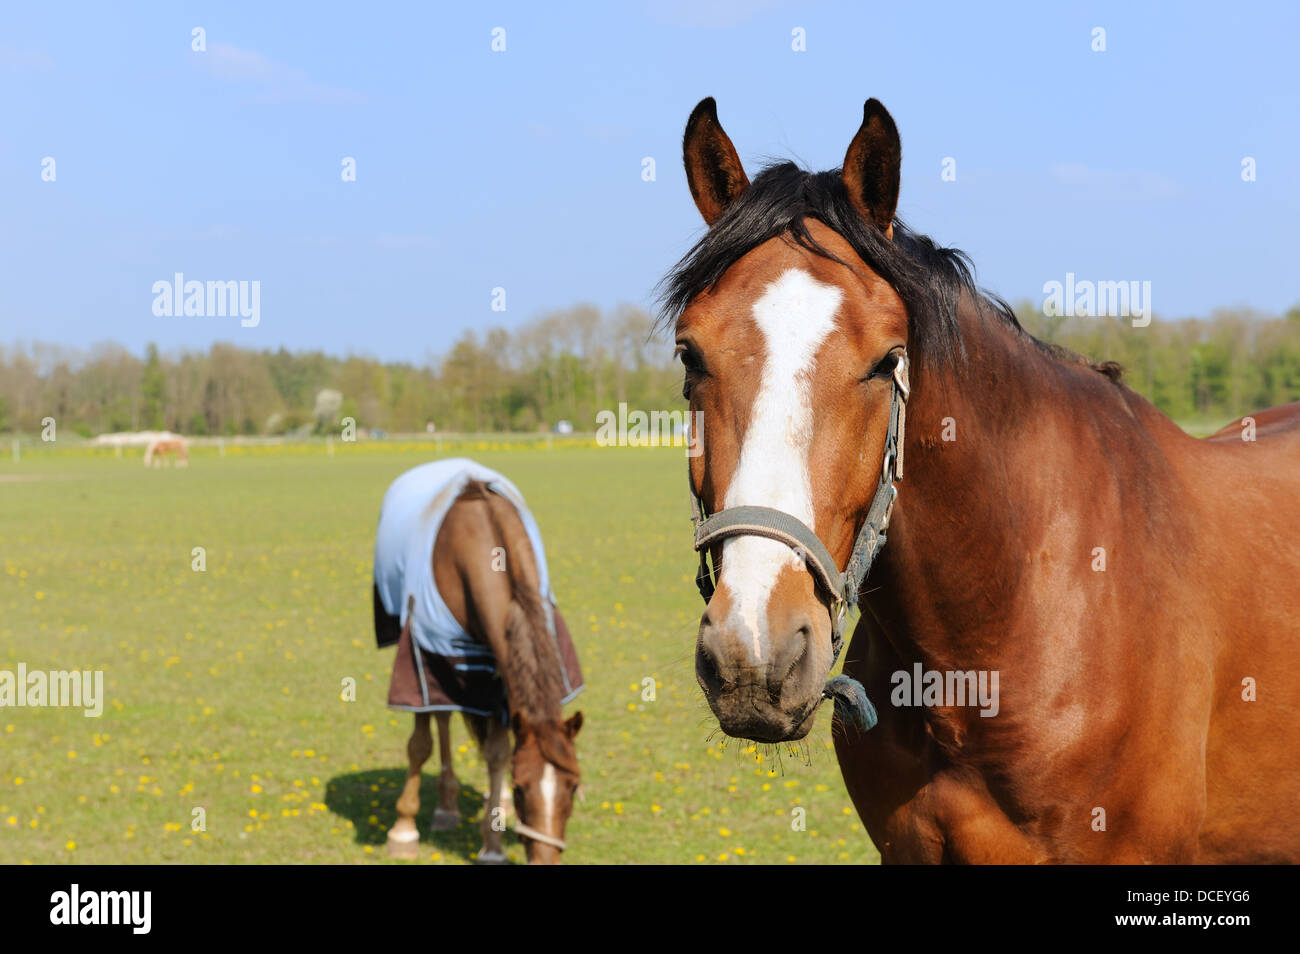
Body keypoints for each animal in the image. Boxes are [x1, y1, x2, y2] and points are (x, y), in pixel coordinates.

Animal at [371, 462, 585, 868]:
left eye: (574, 785)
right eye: (522, 787)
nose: (546, 860)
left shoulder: (499, 674)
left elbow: (498, 752)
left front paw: (493, 843)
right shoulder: (423, 655)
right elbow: (419, 744)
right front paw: (403, 829)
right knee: (441, 720)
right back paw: (445, 807)